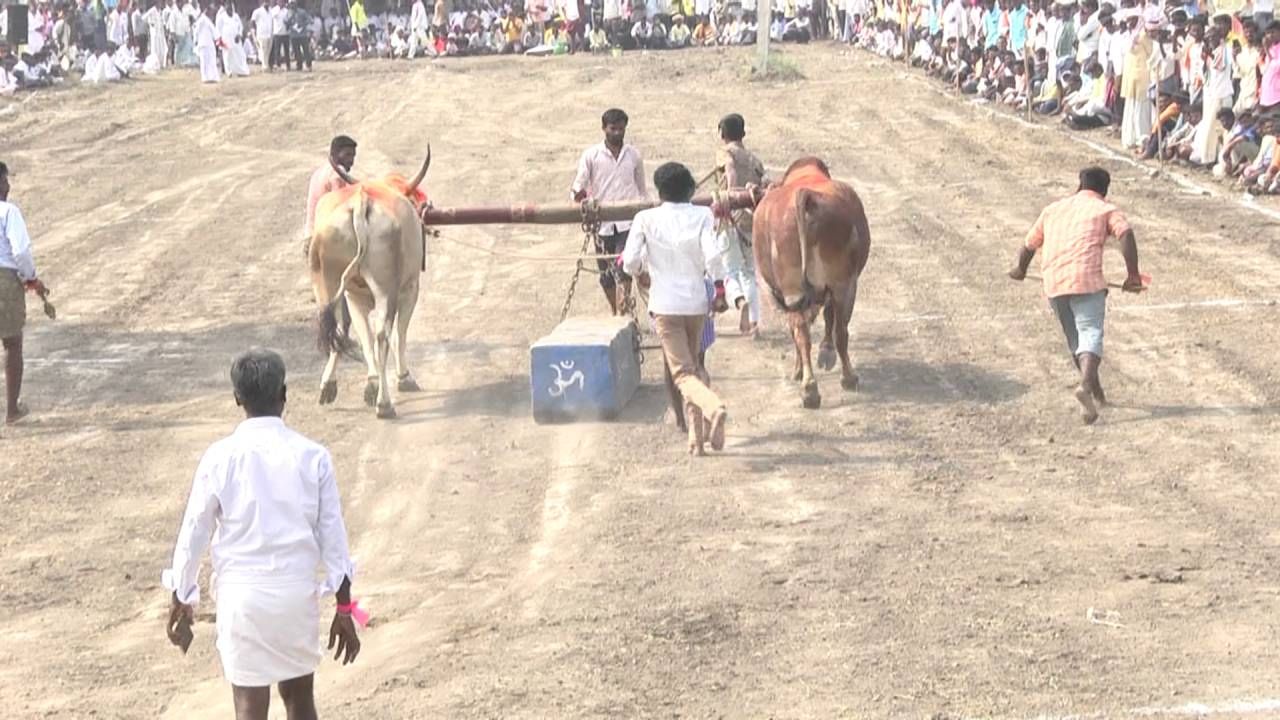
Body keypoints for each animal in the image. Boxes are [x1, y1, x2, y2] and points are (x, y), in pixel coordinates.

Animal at [747, 154, 870, 407]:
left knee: (803, 333)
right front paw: (825, 354)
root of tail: (806, 196)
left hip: (798, 291)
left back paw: (810, 389)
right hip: (843, 284)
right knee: (837, 331)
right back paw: (844, 378)